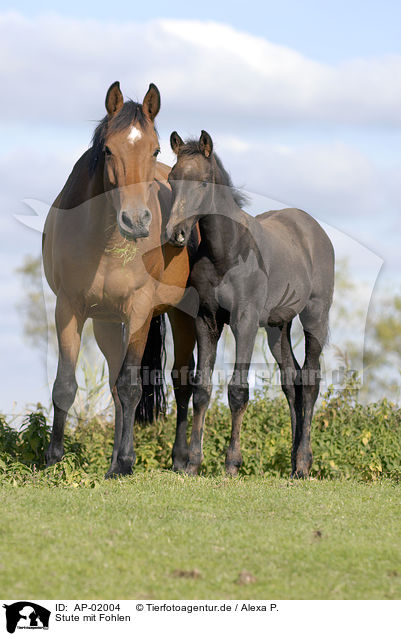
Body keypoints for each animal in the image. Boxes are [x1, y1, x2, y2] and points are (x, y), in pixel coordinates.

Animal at [42, 82, 195, 474]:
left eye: (155, 148)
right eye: (109, 150)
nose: (137, 221)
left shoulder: (139, 310)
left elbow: (131, 386)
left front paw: (124, 464)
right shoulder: (69, 308)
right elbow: (65, 384)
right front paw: (52, 458)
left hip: (181, 315)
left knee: (180, 381)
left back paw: (179, 459)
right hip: (107, 323)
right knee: (113, 384)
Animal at [166, 130, 334, 476]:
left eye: (203, 183)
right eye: (172, 179)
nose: (176, 233)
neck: (227, 252)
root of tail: (314, 230)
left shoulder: (244, 322)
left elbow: (238, 390)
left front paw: (232, 463)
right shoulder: (207, 321)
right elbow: (202, 390)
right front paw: (192, 463)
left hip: (315, 317)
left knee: (310, 380)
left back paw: (302, 463)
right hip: (277, 328)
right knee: (292, 381)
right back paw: (295, 460)